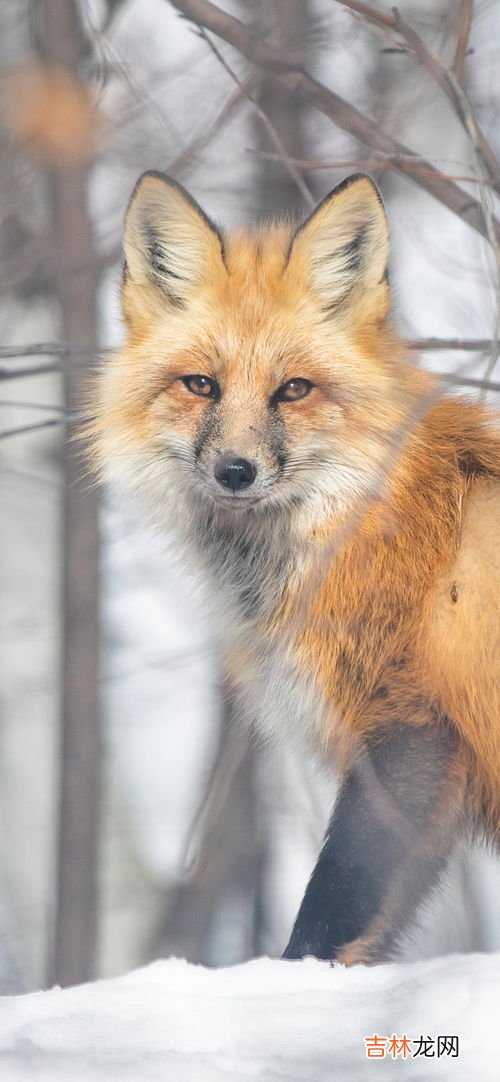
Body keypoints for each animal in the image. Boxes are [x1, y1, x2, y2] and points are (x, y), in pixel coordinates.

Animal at [92, 173, 500, 969]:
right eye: (201, 385)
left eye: (294, 390)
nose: (236, 471)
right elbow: (369, 929)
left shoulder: (411, 727)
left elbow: (331, 906)